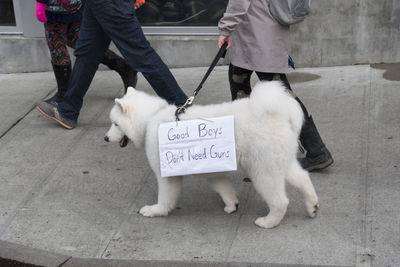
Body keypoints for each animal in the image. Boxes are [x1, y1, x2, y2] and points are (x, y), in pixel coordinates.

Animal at [104, 81, 318, 228]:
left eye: (115, 124)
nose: (105, 138)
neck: (150, 119)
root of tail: (279, 113)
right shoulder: (211, 168)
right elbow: (223, 187)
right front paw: (232, 205)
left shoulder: (166, 173)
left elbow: (165, 197)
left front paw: (156, 211)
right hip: (281, 161)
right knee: (303, 178)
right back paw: (312, 207)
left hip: (262, 170)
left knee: (280, 200)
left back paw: (268, 222)